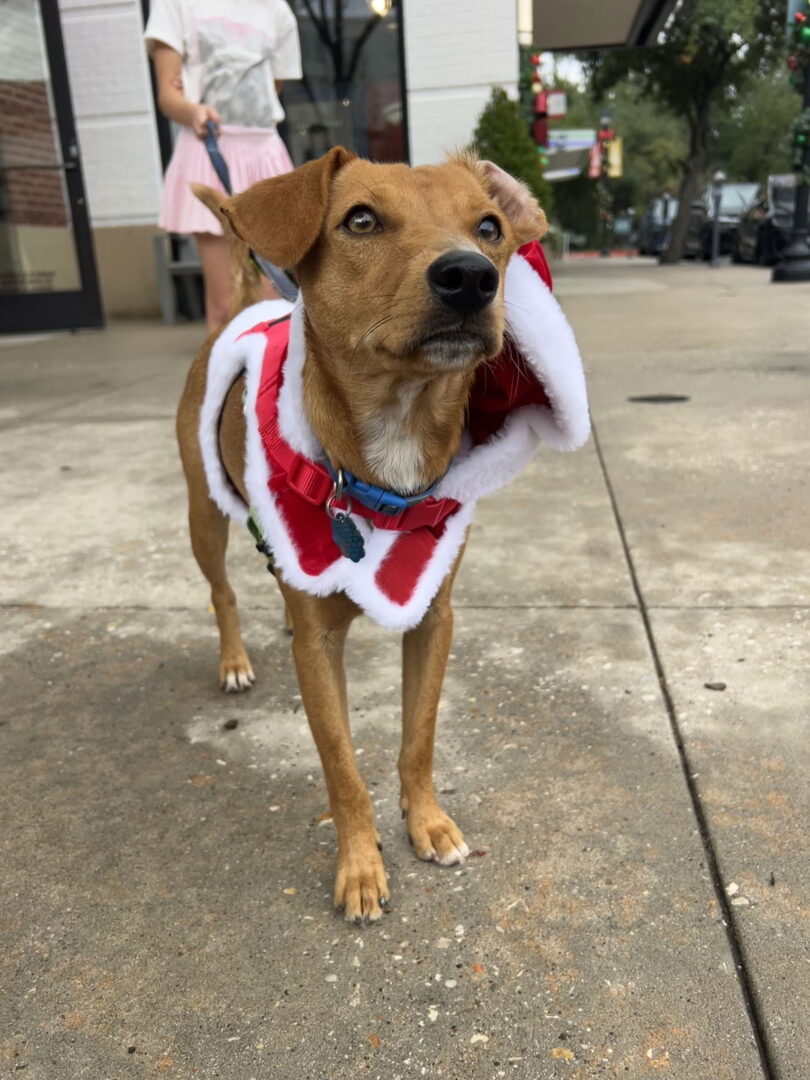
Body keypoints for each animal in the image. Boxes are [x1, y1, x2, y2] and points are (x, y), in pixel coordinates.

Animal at [176, 149, 588, 924]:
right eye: (360, 220)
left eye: (489, 227)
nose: (471, 276)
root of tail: (247, 305)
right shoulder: (320, 655)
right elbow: (342, 766)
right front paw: (361, 866)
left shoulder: (433, 617)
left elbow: (417, 738)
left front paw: (426, 821)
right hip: (202, 512)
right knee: (221, 592)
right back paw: (235, 659)